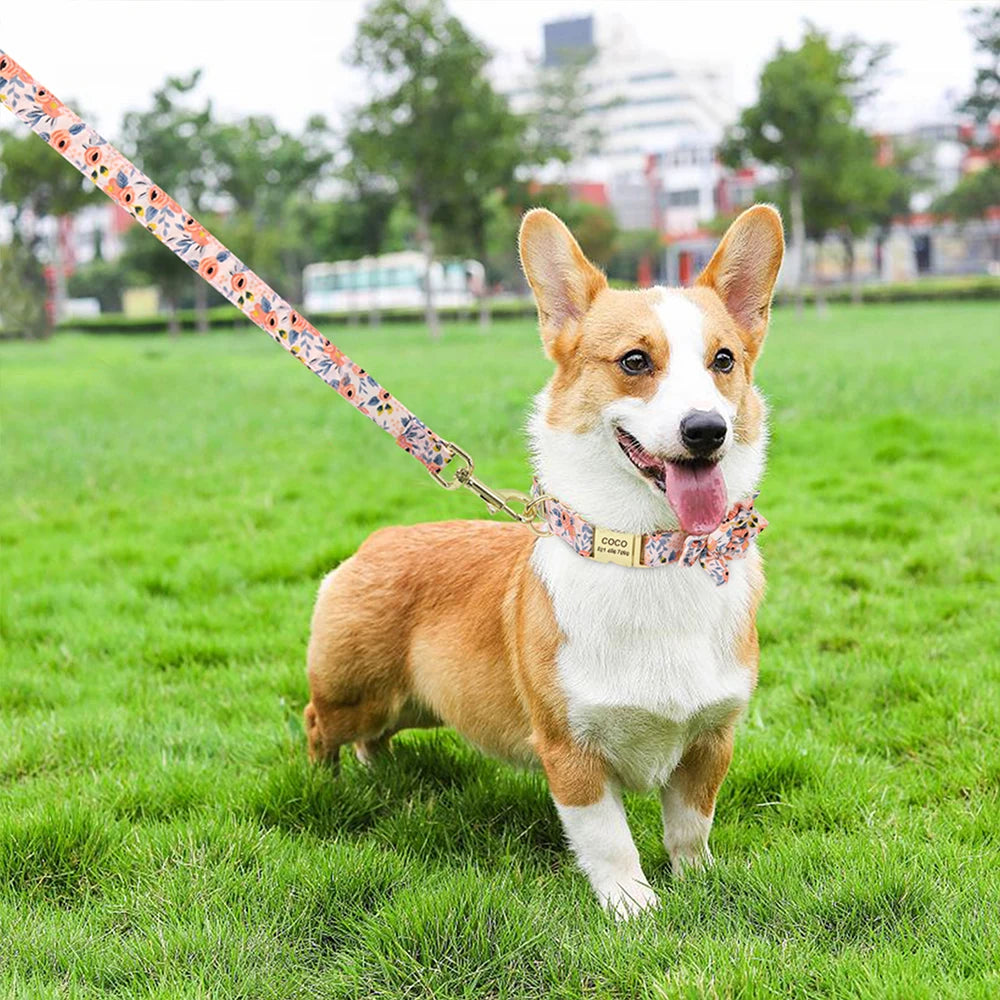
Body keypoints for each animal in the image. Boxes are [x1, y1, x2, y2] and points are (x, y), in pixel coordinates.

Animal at [304, 207, 780, 916]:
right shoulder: (572, 750)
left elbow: (691, 826)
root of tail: (376, 541)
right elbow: (609, 838)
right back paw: (327, 786)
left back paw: (379, 776)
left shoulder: (710, 738)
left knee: (375, 738)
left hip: (405, 704)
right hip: (353, 693)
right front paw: (633, 906)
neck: (652, 554)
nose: (706, 431)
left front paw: (697, 881)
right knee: (319, 724)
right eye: (635, 361)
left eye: (724, 360)